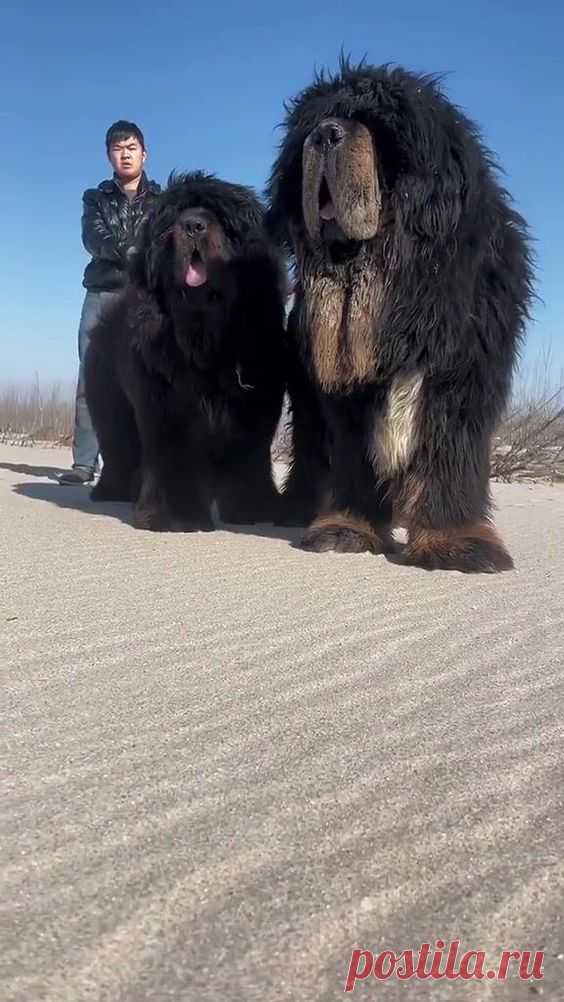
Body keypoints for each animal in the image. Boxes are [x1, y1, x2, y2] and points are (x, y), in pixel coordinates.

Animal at [86, 172, 320, 533]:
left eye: (222, 220)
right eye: (172, 223)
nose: (193, 225)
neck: (205, 336)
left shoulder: (253, 405)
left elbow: (247, 459)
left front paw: (251, 510)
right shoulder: (165, 406)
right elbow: (172, 457)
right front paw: (175, 515)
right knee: (117, 446)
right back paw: (111, 492)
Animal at [266, 60, 536, 573]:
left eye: (379, 127)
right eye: (313, 125)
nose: (325, 134)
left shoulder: (459, 379)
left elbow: (448, 456)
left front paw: (455, 542)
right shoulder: (347, 396)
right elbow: (351, 457)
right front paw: (346, 528)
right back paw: (296, 507)